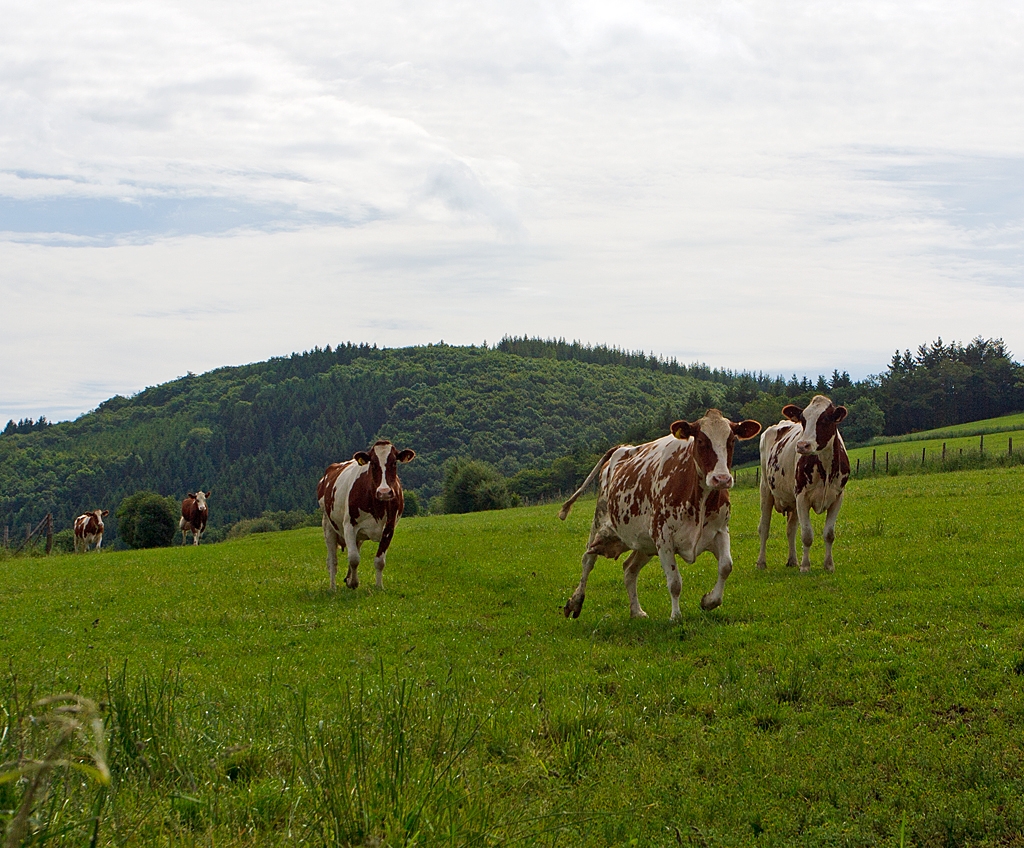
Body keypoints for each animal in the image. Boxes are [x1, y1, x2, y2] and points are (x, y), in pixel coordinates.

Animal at [317, 440, 417, 594]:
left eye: (394, 462)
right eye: (373, 463)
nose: (384, 492)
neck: (377, 507)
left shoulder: (389, 528)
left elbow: (379, 561)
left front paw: (378, 586)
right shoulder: (349, 526)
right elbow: (354, 559)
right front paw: (353, 582)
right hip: (328, 526)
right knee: (332, 561)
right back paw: (333, 587)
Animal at [561, 411, 761, 622]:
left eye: (731, 440)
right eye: (700, 440)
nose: (721, 479)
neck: (699, 501)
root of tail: (623, 448)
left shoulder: (720, 530)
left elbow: (726, 566)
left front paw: (709, 601)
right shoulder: (663, 537)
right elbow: (675, 582)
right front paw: (676, 616)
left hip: (644, 543)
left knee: (629, 569)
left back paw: (636, 611)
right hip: (600, 522)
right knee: (587, 560)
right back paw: (575, 602)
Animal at [757, 395, 851, 569]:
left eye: (825, 419)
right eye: (803, 419)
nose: (802, 445)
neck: (826, 467)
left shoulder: (837, 497)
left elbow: (829, 534)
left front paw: (829, 565)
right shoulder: (802, 497)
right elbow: (807, 535)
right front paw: (805, 566)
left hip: (792, 500)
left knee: (791, 529)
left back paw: (792, 560)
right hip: (766, 489)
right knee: (764, 528)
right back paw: (761, 562)